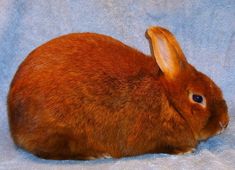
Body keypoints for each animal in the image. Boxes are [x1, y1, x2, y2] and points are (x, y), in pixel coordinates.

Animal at [7, 26, 229, 159]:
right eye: (198, 98)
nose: (224, 123)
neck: (169, 100)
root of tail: (14, 125)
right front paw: (185, 150)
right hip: (58, 130)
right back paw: (95, 154)